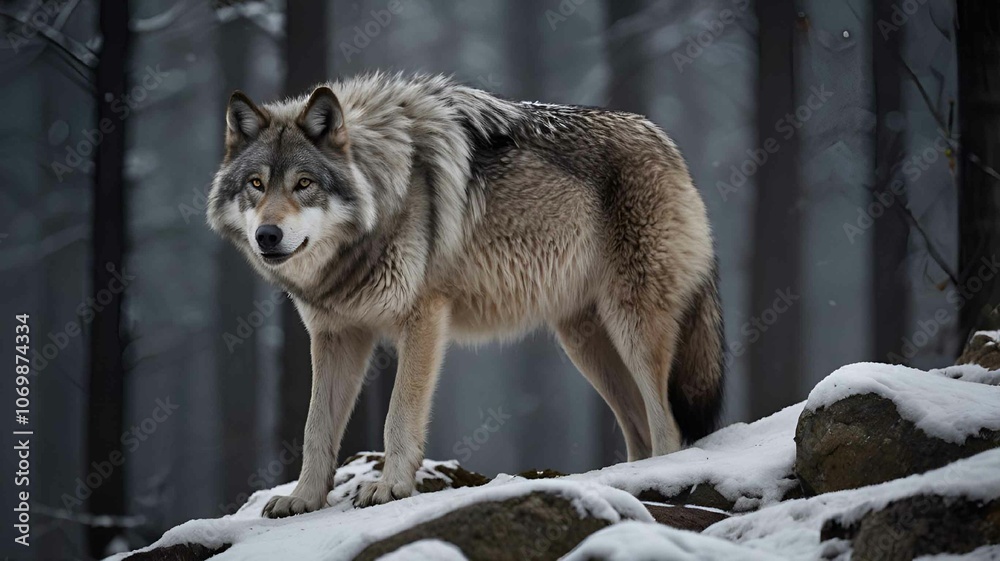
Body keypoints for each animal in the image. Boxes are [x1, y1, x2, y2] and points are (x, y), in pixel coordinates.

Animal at [208, 73, 725, 518]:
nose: (267, 236)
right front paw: (304, 500)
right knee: (640, 427)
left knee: (667, 425)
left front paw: (390, 488)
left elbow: (398, 416)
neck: (384, 194)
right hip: (585, 343)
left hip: (632, 326)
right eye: (256, 184)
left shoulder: (423, 319)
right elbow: (316, 428)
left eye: (304, 184)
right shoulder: (336, 335)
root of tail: (665, 140)